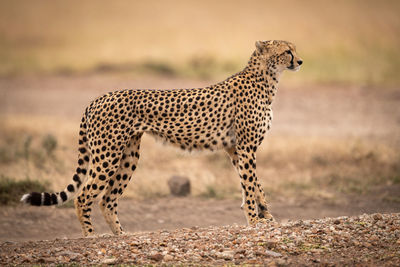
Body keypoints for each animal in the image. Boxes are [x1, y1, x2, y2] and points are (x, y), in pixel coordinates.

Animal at [20, 39, 302, 237]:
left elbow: (254, 186)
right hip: (107, 155)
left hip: (128, 156)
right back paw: (91, 237)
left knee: (108, 199)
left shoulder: (234, 149)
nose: (300, 61)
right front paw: (255, 221)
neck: (266, 78)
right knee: (83, 196)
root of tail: (98, 98)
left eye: (294, 49)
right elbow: (252, 185)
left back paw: (121, 236)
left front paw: (266, 218)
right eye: (287, 51)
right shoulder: (245, 147)